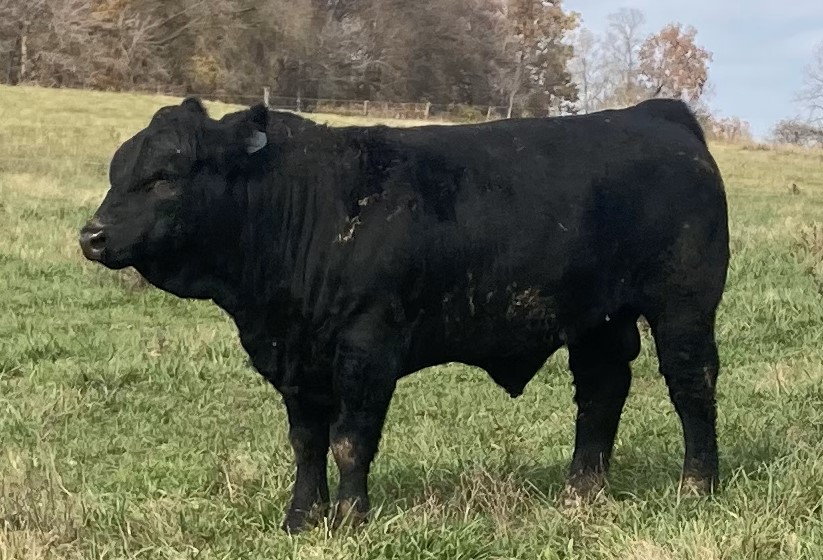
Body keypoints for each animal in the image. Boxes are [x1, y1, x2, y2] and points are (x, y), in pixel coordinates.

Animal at [80, 97, 732, 532]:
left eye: (164, 177)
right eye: (116, 172)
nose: (92, 236)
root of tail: (655, 114)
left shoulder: (367, 349)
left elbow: (350, 440)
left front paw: (350, 518)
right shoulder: (297, 361)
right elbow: (306, 442)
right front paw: (300, 518)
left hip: (684, 308)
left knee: (691, 387)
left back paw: (696, 488)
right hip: (598, 320)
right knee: (601, 393)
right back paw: (581, 493)